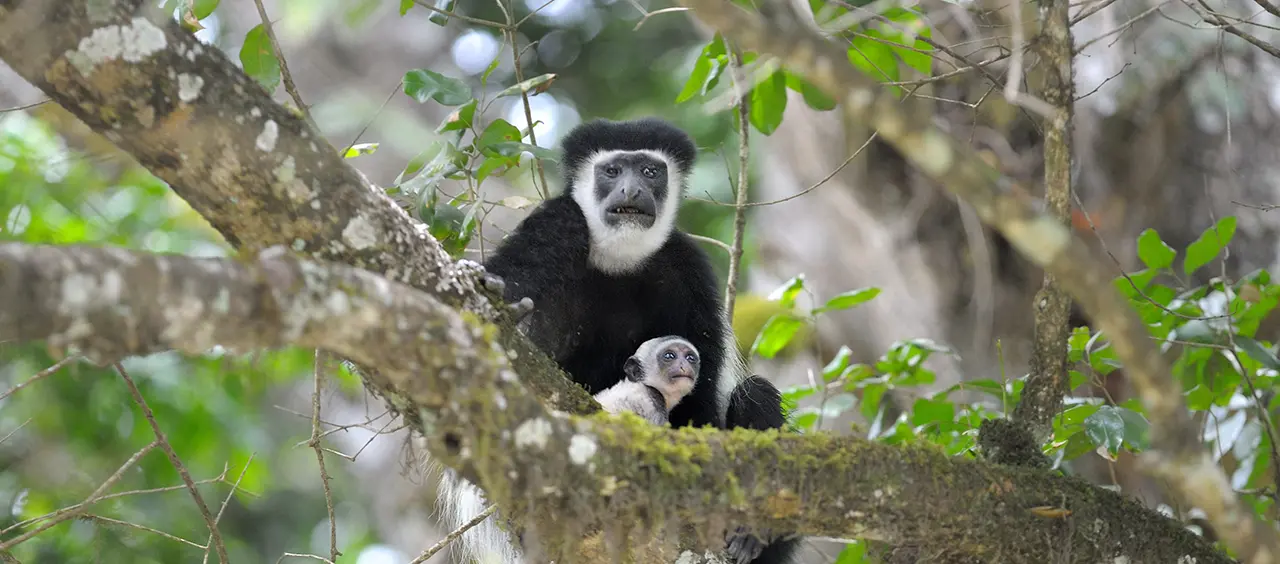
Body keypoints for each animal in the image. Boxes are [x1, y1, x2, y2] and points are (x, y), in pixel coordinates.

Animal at [440, 117, 798, 562]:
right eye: (612, 170)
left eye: (649, 171)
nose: (631, 190)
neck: (619, 257)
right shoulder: (557, 223)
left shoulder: (687, 267)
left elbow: (704, 388)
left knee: (757, 393)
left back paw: (751, 538)